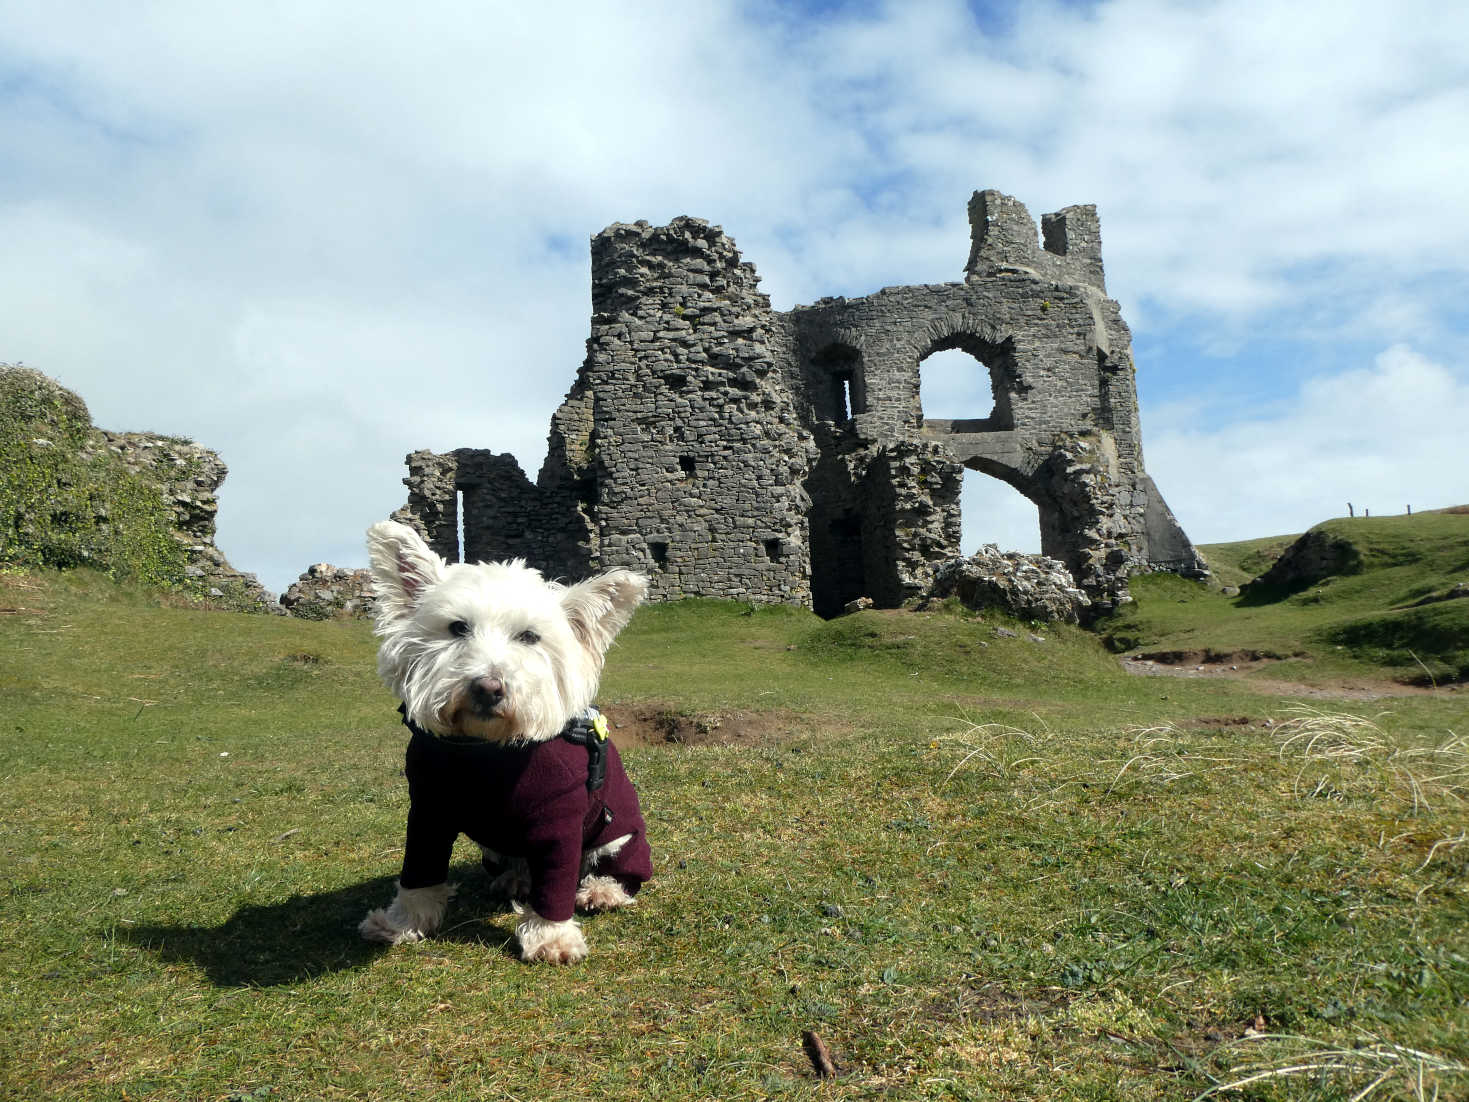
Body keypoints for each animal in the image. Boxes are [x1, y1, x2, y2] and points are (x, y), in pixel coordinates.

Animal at [355, 523, 649, 963]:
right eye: (457, 627)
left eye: (529, 636)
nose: (488, 688)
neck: (484, 753)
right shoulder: (427, 810)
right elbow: (418, 872)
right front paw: (402, 923)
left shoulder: (559, 820)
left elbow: (556, 884)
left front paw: (551, 937)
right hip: (494, 849)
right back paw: (514, 880)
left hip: (619, 836)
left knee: (613, 867)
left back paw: (601, 890)